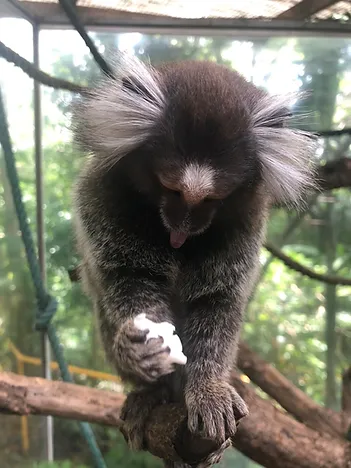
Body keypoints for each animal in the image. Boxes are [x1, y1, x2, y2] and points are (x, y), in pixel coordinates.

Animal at [71, 54, 316, 464]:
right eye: (170, 189)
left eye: (211, 199)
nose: (181, 228)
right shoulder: (104, 192)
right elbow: (127, 277)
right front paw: (141, 351)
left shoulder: (247, 219)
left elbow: (217, 301)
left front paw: (209, 390)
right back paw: (149, 394)